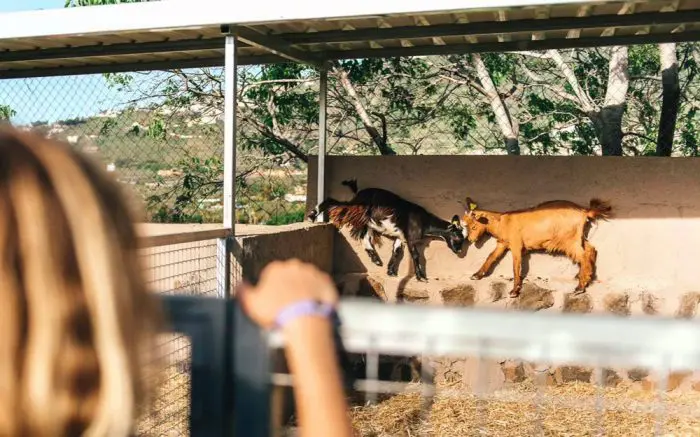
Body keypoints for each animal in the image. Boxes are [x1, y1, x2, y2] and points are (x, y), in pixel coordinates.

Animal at [308, 179, 464, 282]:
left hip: (367, 220)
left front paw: (390, 271)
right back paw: (312, 216)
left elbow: (396, 252)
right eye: (457, 238)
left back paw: (376, 260)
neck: (424, 221)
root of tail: (359, 192)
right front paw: (421, 277)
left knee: (365, 237)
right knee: (333, 202)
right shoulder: (411, 238)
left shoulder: (400, 236)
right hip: (356, 208)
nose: (459, 251)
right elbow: (416, 255)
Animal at [464, 197, 612, 296]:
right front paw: (476, 275)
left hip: (570, 241)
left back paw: (580, 287)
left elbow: (516, 266)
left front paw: (514, 291)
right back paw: (584, 277)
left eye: (474, 226)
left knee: (584, 255)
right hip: (578, 238)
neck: (502, 222)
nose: (471, 239)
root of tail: (584, 211)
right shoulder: (502, 244)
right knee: (591, 250)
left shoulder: (516, 245)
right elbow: (490, 257)